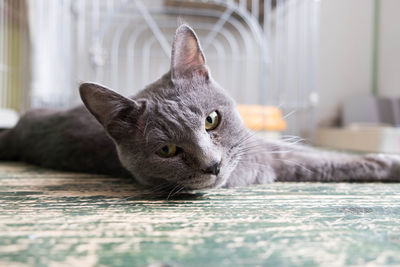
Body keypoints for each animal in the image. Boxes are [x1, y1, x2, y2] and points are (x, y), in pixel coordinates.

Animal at [0, 23, 398, 191]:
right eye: (166, 150)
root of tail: (16, 130)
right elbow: (325, 163)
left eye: (211, 120)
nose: (213, 165)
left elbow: (322, 157)